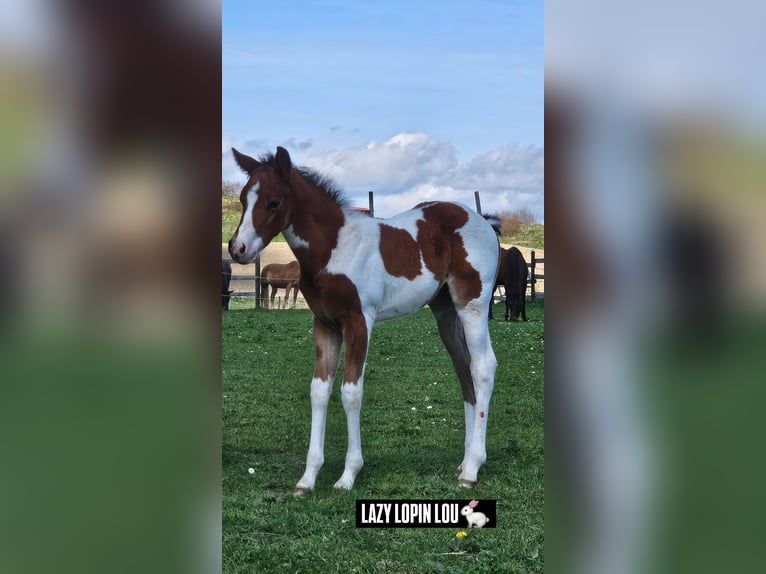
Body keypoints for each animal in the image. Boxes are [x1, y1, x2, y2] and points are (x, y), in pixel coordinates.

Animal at [228, 146, 500, 494]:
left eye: (273, 202)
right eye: (243, 199)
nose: (237, 248)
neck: (335, 250)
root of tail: (483, 220)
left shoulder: (358, 321)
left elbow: (351, 392)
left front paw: (348, 475)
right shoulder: (324, 325)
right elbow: (319, 391)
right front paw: (308, 478)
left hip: (472, 305)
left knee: (482, 367)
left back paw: (473, 468)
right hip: (445, 311)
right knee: (463, 370)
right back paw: (464, 462)